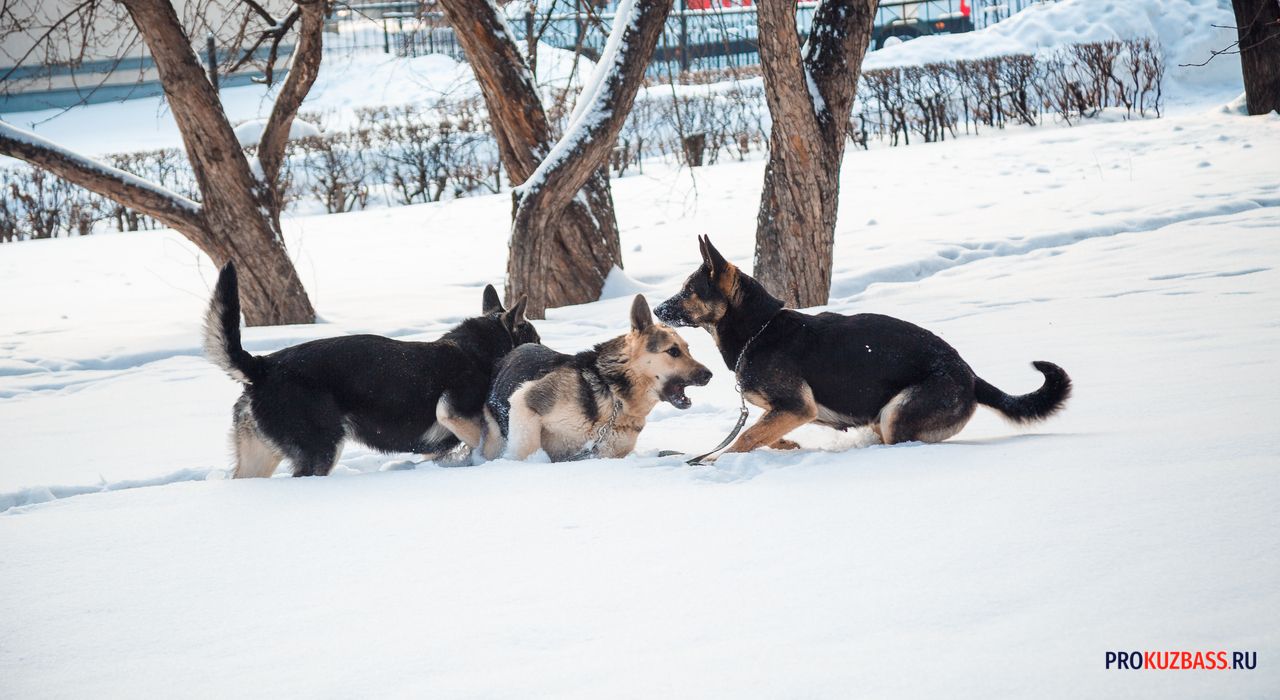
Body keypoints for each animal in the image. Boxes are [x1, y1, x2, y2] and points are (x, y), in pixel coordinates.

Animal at [200, 263, 540, 476]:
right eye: (536, 339)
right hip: (322, 450)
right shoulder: (453, 414)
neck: (478, 351)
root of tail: (262, 366)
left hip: (259, 459)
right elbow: (489, 443)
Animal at [655, 235, 1064, 455]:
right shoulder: (785, 411)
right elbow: (760, 433)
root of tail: (972, 376)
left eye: (688, 291)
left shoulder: (796, 407)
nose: (657, 309)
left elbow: (745, 438)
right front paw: (784, 446)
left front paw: (715, 461)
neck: (760, 329)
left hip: (896, 414)